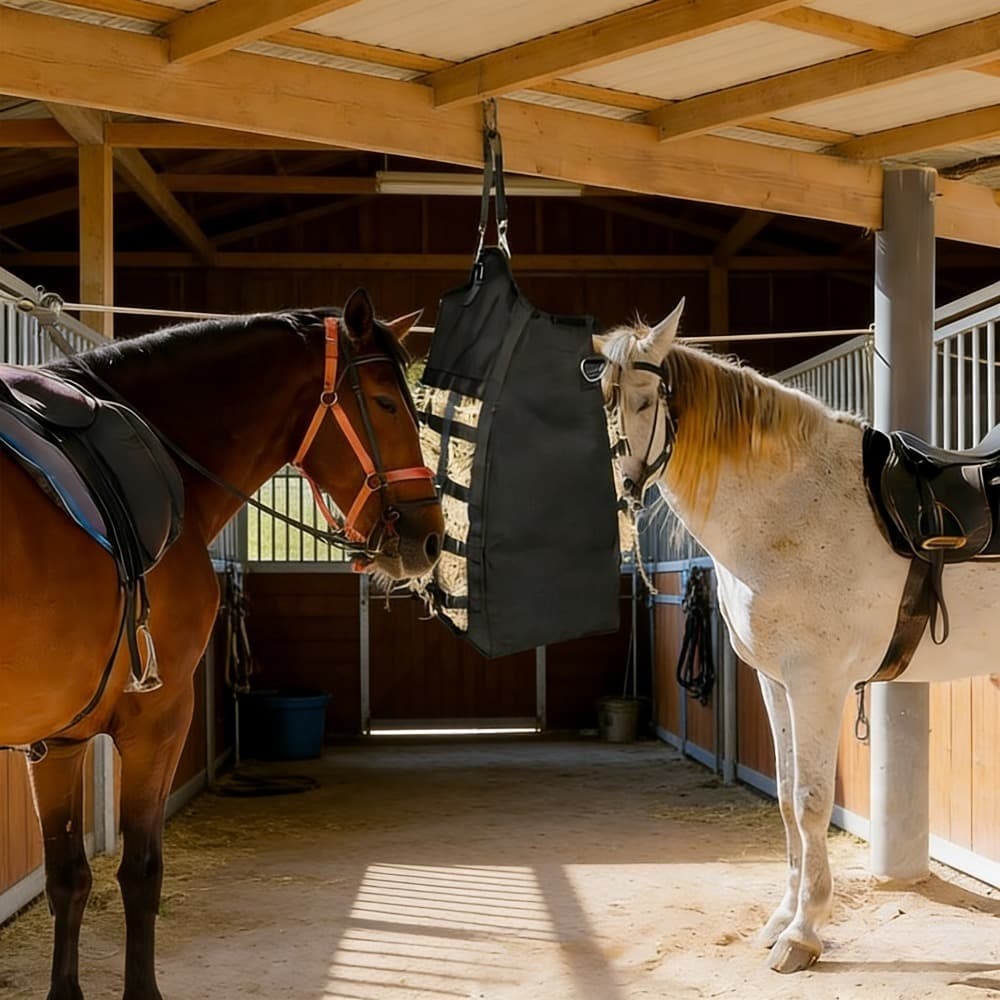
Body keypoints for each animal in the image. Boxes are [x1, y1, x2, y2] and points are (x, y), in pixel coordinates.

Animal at [0, 288, 443, 1000]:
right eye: (384, 402)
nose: (428, 537)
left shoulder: (58, 739)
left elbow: (68, 877)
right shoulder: (158, 717)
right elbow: (140, 871)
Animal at [594, 300, 1000, 974]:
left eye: (648, 398)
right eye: (604, 399)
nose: (621, 490)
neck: (790, 508)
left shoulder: (817, 684)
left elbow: (811, 802)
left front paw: (804, 934)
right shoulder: (775, 680)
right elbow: (786, 798)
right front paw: (781, 918)